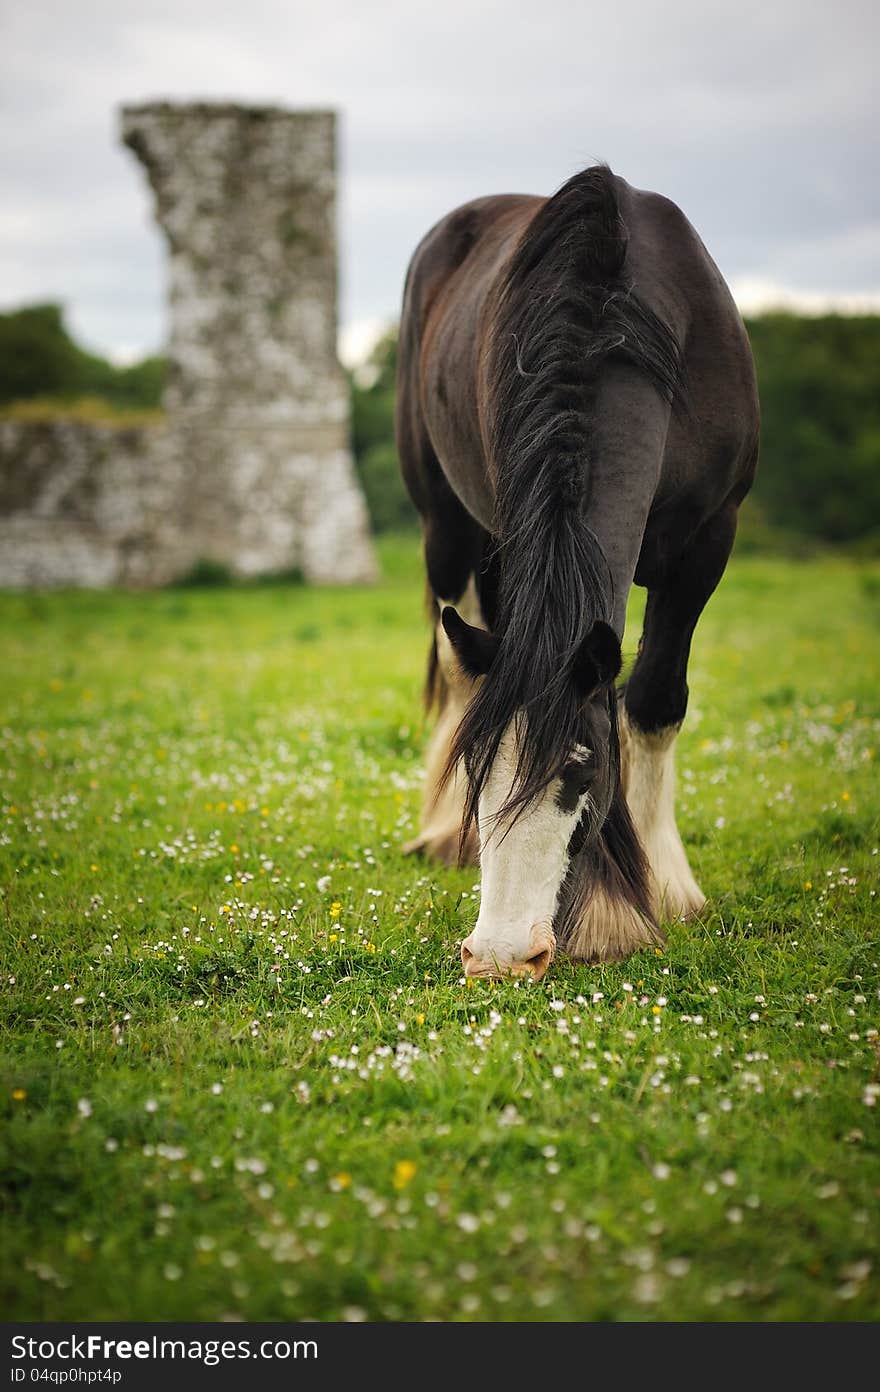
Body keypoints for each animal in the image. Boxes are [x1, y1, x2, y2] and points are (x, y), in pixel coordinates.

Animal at [395, 162, 757, 979]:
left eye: (583, 772)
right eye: (476, 769)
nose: (501, 955)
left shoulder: (706, 548)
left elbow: (652, 702)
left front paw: (662, 888)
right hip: (449, 528)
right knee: (461, 665)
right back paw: (449, 839)